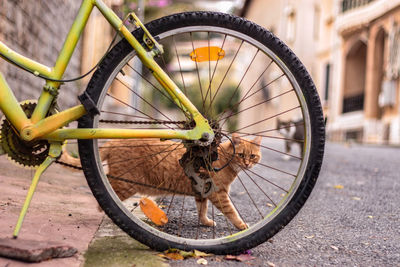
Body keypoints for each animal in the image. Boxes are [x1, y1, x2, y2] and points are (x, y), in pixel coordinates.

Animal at [58, 134, 260, 230]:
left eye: (252, 156)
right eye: (241, 155)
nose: (247, 163)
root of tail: (116, 140)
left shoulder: (202, 192)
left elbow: (202, 210)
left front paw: (205, 222)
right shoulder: (218, 193)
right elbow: (231, 211)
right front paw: (241, 225)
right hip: (126, 183)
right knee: (105, 188)